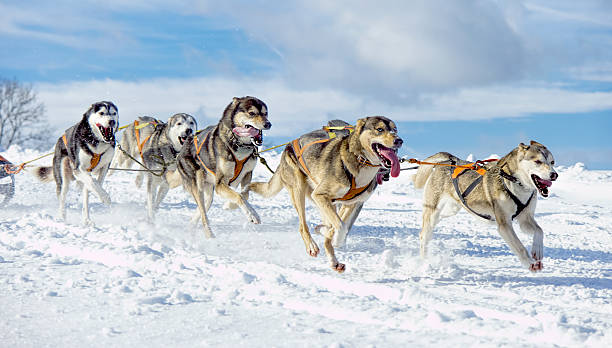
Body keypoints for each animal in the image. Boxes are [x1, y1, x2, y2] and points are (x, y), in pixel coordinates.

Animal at [178, 96, 272, 238]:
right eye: (252, 113)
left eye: (265, 113)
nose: (268, 124)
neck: (239, 144)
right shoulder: (220, 184)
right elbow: (239, 196)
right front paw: (252, 215)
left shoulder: (247, 174)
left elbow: (245, 194)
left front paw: (230, 205)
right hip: (198, 186)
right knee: (204, 215)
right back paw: (210, 235)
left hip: (209, 193)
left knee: (202, 208)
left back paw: (191, 226)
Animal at [246, 116, 404, 272]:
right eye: (380, 129)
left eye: (395, 130)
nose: (399, 140)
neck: (359, 160)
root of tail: (289, 144)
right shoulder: (320, 195)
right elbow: (341, 227)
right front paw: (328, 234)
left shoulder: (350, 204)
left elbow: (340, 228)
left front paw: (328, 234)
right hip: (299, 190)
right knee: (303, 226)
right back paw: (312, 246)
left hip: (326, 202)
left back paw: (333, 258)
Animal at [412, 140, 560, 270]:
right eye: (538, 161)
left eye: (552, 162)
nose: (554, 175)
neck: (514, 182)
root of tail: (449, 160)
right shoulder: (504, 225)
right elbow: (519, 247)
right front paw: (530, 263)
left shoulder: (525, 218)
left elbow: (539, 231)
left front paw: (537, 251)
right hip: (433, 212)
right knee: (424, 235)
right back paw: (424, 260)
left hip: (451, 209)